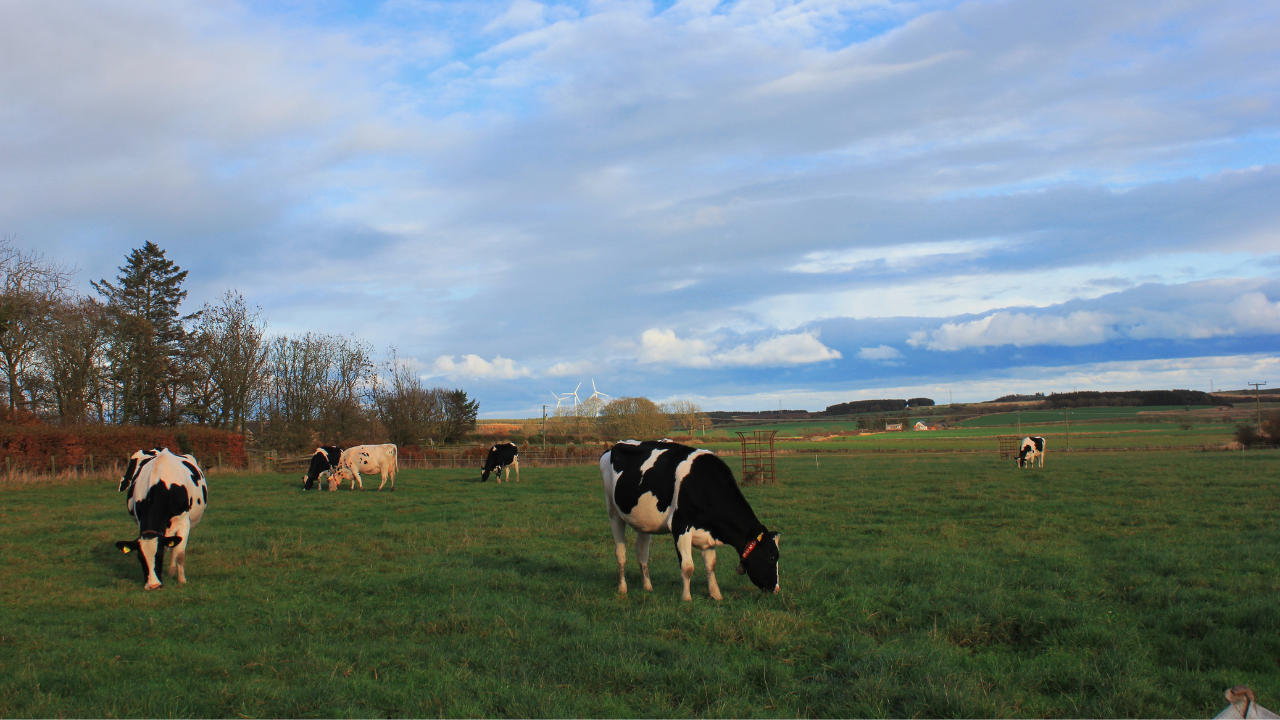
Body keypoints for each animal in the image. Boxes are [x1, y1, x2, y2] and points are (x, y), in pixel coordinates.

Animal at [115, 448, 209, 590]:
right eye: (140, 558)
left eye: (159, 556)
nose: (153, 585)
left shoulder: (184, 522)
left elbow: (179, 553)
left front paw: (182, 580)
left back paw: (172, 571)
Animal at [600, 439, 780, 602]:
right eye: (772, 558)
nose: (776, 589)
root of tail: (612, 448)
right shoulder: (681, 526)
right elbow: (687, 567)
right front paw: (686, 598)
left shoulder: (708, 533)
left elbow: (711, 565)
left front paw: (716, 595)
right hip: (613, 512)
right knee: (620, 552)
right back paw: (622, 588)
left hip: (644, 521)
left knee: (642, 553)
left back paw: (647, 586)